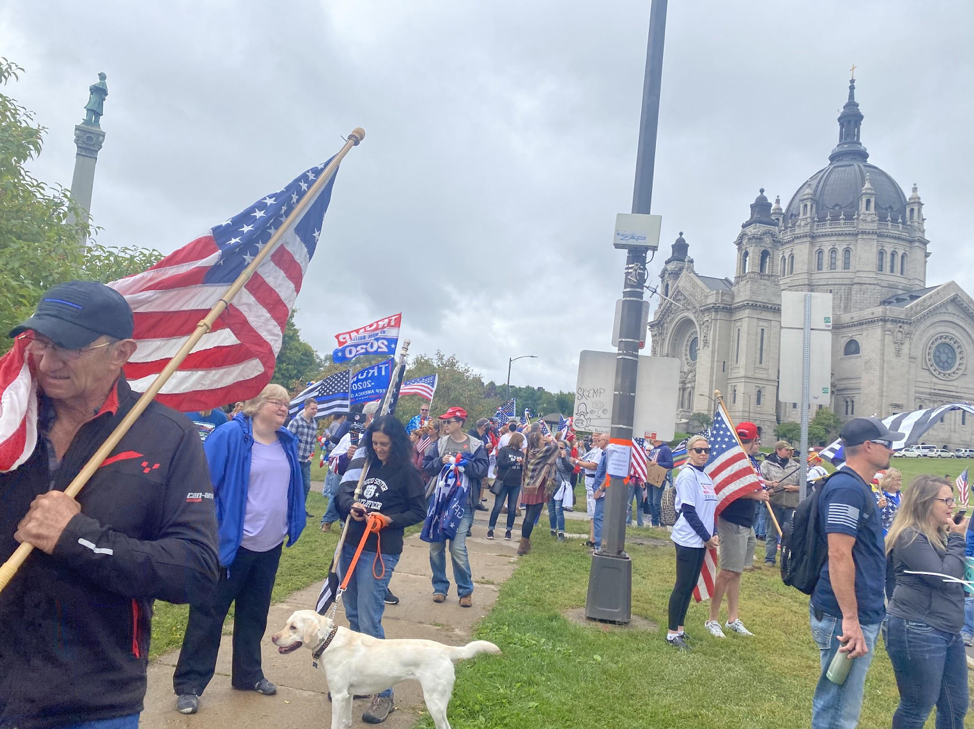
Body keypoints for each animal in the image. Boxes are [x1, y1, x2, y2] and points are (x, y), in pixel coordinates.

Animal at [274, 608, 504, 728]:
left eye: (293, 627)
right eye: (286, 624)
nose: (273, 638)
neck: (328, 641)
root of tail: (445, 650)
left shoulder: (338, 695)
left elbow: (335, 724)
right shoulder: (347, 695)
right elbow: (345, 722)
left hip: (435, 702)